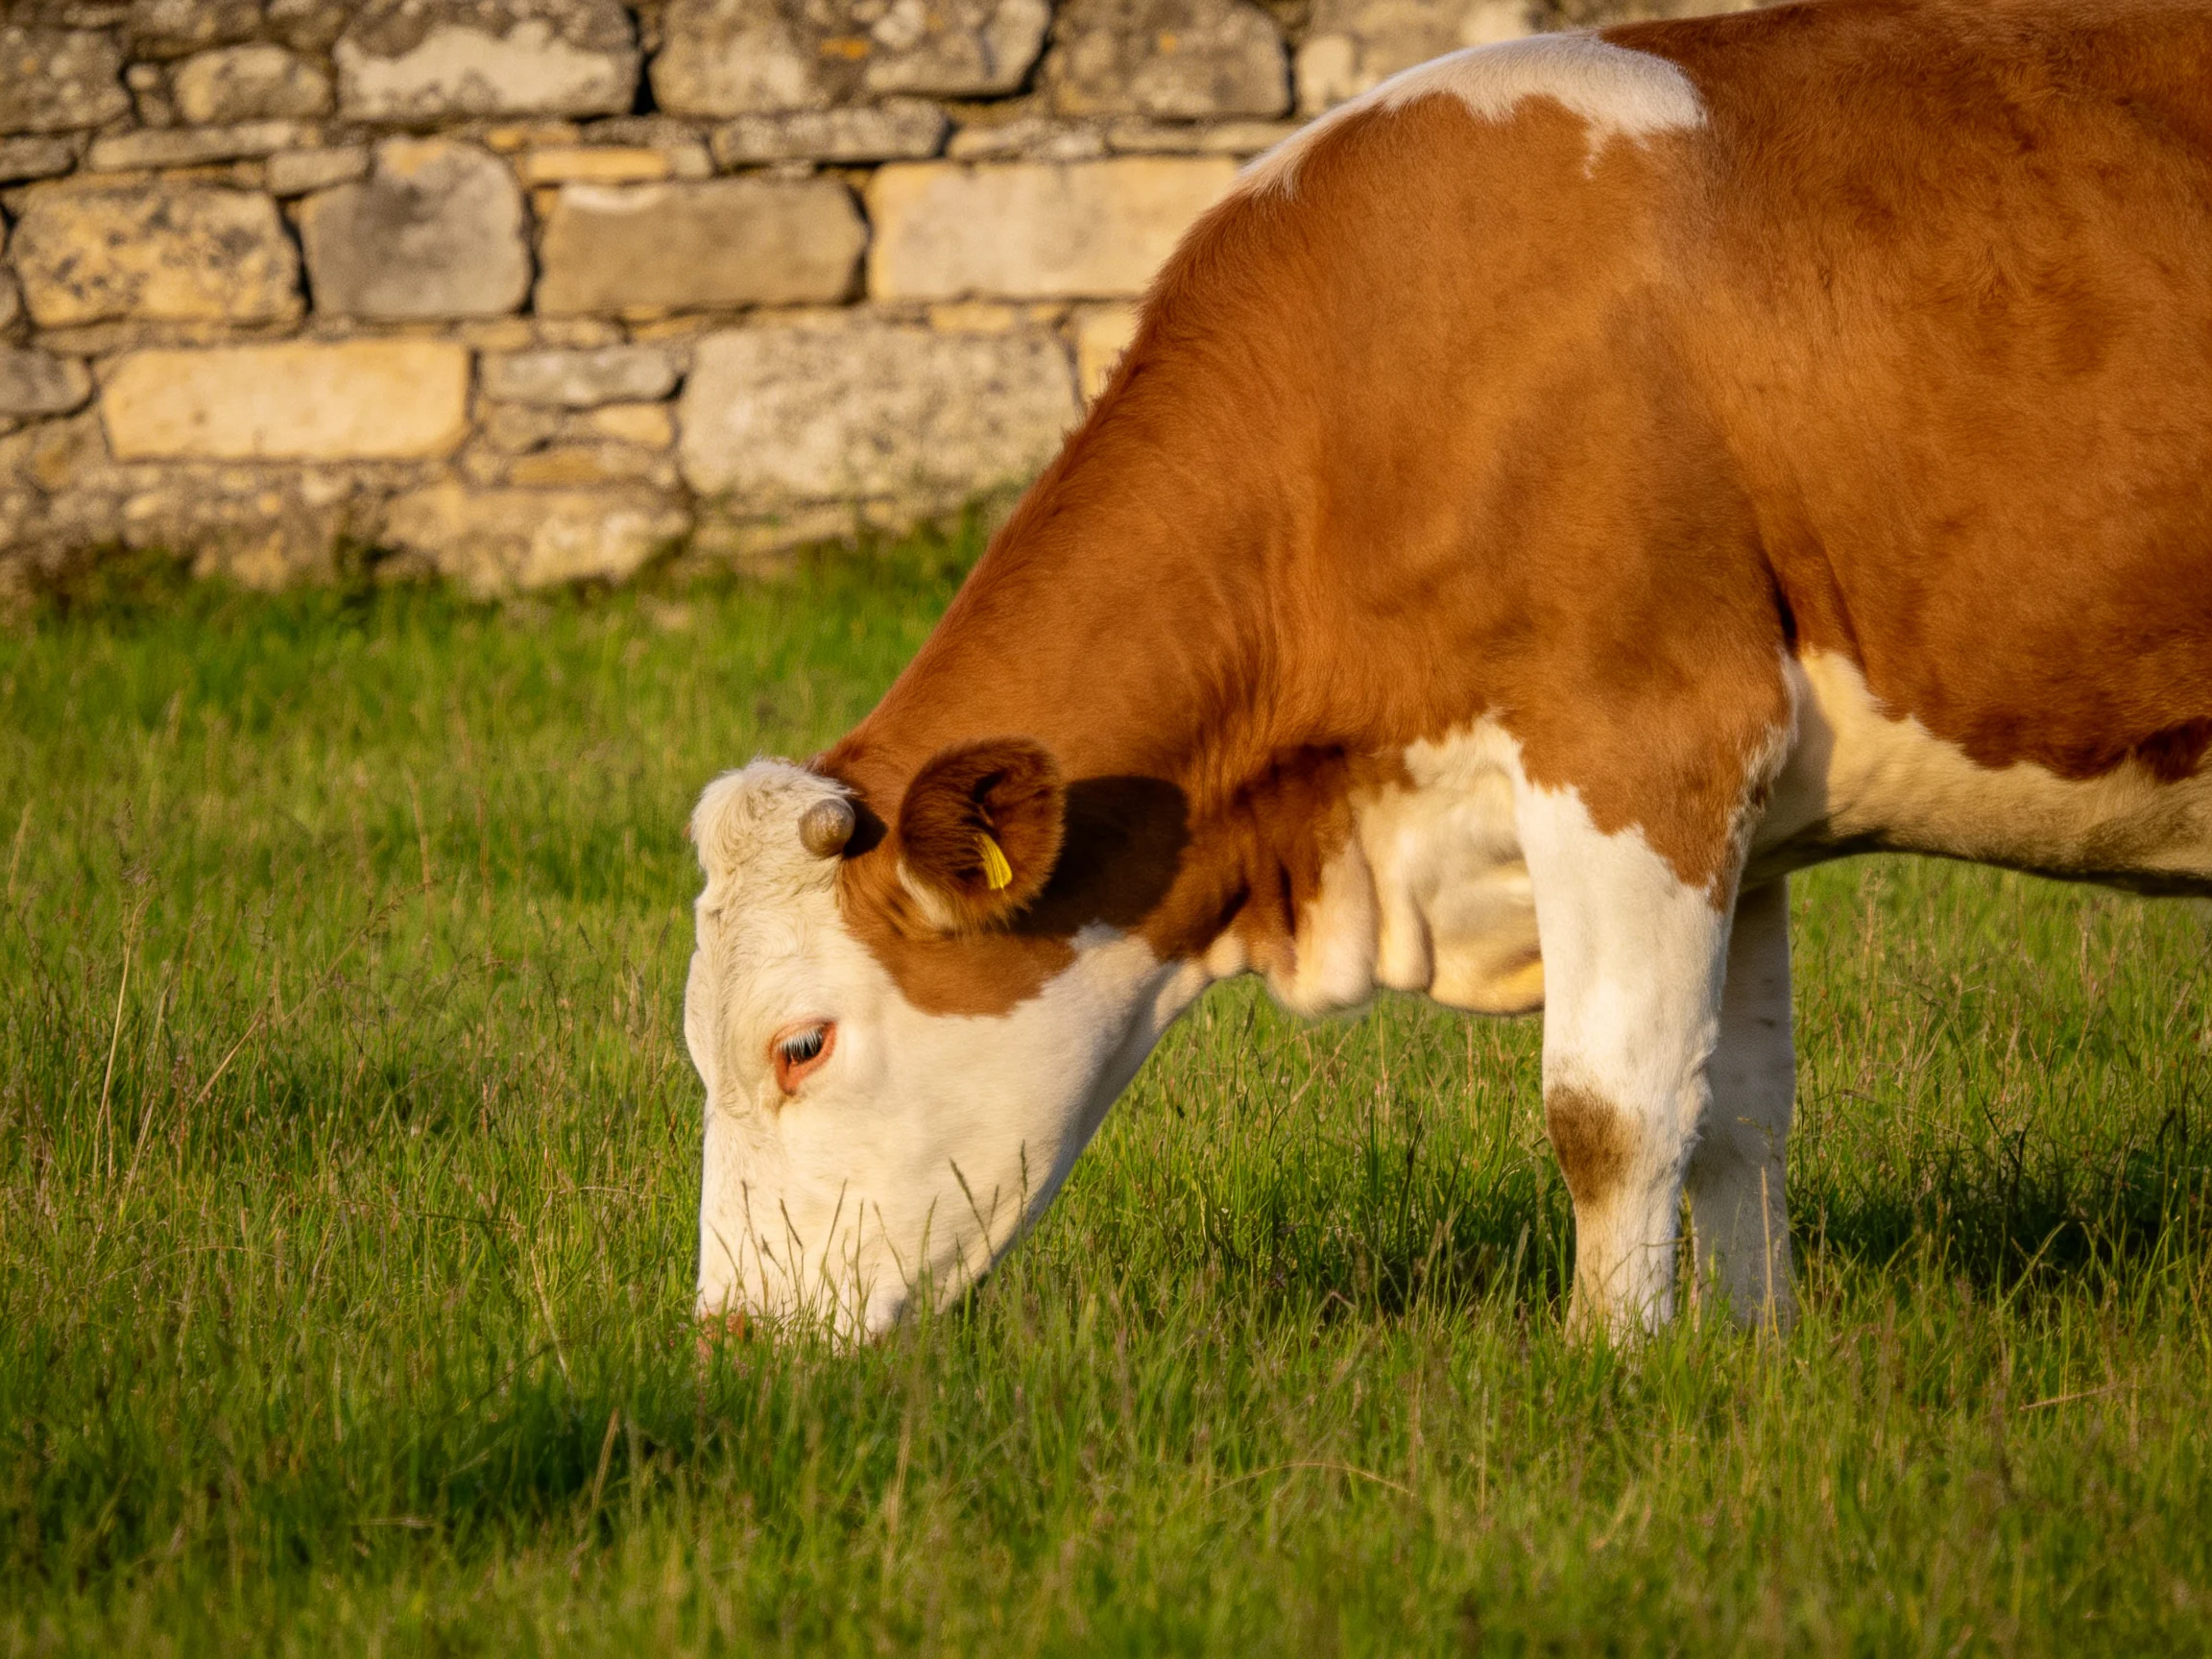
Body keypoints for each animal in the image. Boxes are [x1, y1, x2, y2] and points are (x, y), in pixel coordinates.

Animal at [684, 0, 2212, 1341]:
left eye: (800, 1044)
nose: (735, 1340)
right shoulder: (1746, 807)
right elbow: (1738, 1108)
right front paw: (1754, 1352)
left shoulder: (1643, 738)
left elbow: (1611, 1109)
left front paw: (1612, 1361)